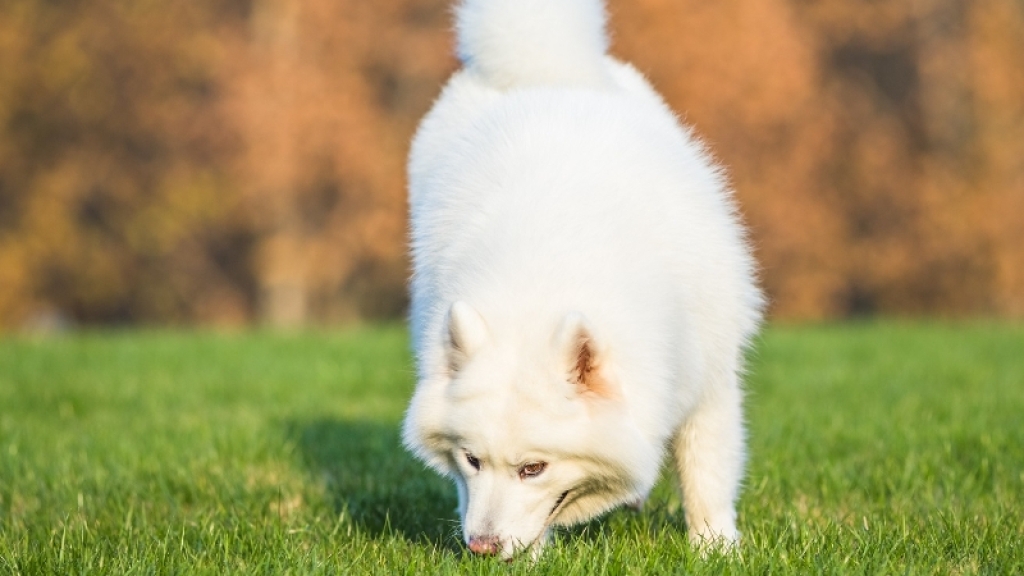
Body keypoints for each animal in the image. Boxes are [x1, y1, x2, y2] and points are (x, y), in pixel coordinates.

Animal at [399, 0, 761, 557]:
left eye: (533, 468)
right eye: (472, 460)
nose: (481, 548)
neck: (540, 283)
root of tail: (547, 75)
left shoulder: (711, 383)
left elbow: (706, 477)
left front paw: (715, 550)